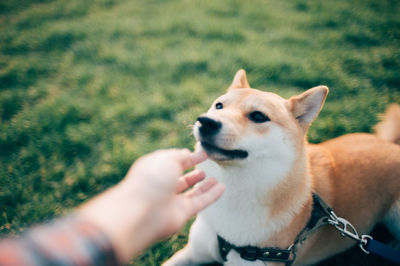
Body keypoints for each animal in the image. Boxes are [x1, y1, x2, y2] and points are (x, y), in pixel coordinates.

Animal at [163, 69, 400, 264]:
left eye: (258, 116)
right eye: (219, 106)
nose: (205, 121)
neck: (233, 188)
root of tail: (391, 145)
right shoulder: (192, 252)